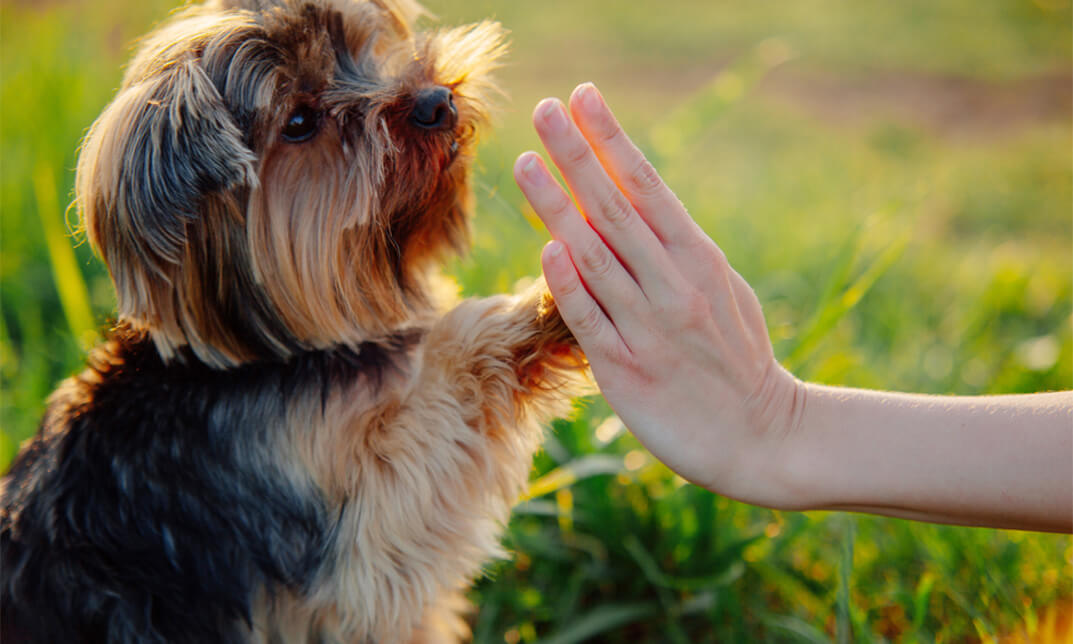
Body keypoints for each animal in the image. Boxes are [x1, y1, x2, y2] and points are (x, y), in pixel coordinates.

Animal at [0, 2, 588, 639]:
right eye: (300, 121)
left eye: (361, 50)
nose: (437, 101)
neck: (274, 353)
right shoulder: (349, 546)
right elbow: (432, 417)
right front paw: (549, 303)